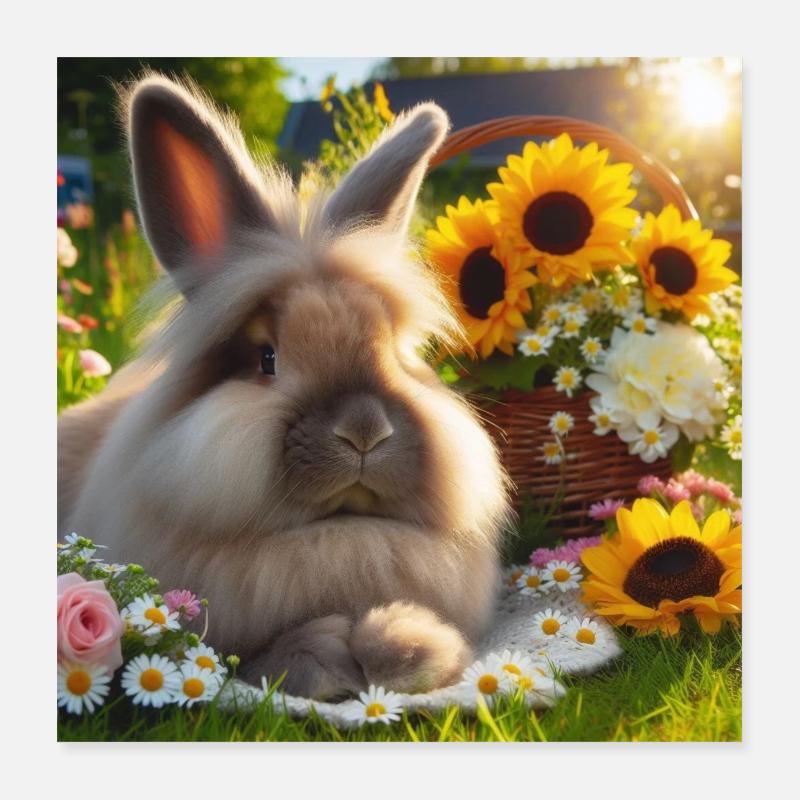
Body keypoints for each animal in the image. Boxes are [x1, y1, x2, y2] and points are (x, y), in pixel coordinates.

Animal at [57, 73, 510, 700]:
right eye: (266, 359)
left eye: (395, 353)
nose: (364, 431)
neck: (337, 536)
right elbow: (265, 654)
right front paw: (322, 660)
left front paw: (405, 647)